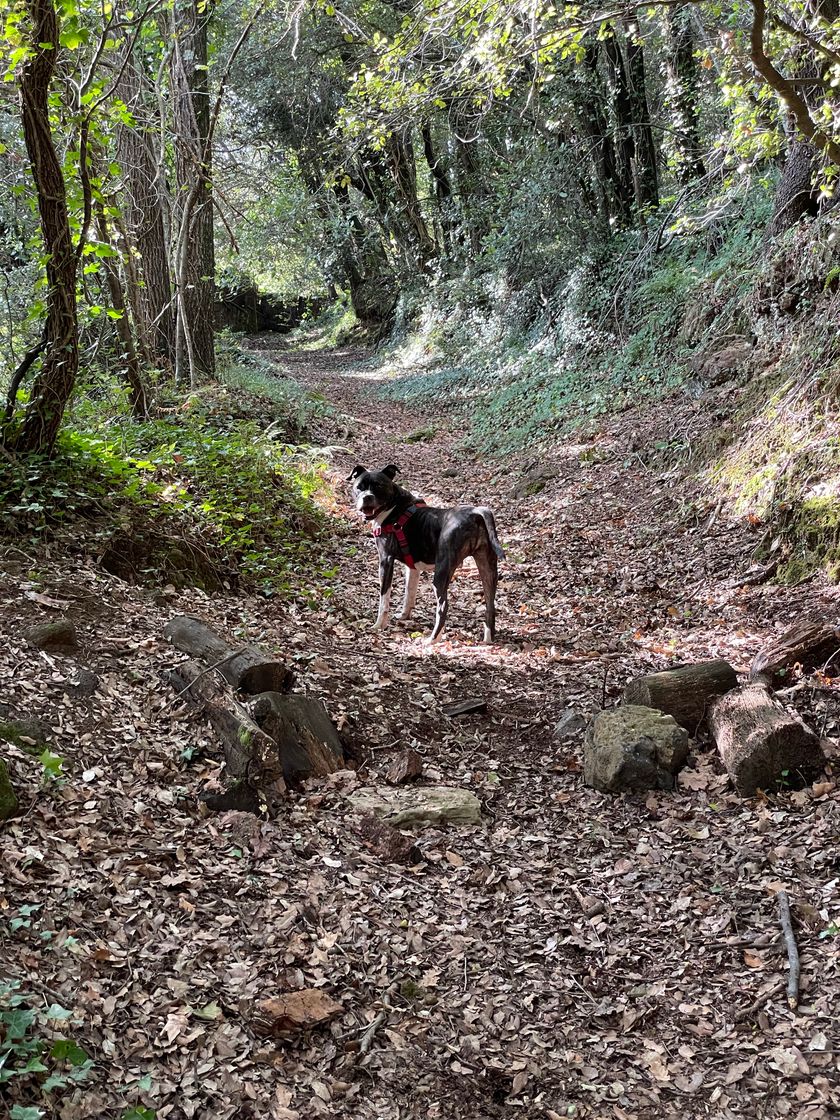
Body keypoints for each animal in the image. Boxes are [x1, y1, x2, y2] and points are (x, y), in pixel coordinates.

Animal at [349, 459, 506, 645]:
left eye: (378, 486)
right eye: (359, 487)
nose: (366, 497)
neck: (394, 508)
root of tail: (475, 512)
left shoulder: (386, 561)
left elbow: (384, 599)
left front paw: (379, 625)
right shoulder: (412, 568)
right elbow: (409, 592)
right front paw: (404, 616)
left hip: (442, 572)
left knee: (443, 606)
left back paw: (433, 638)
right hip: (487, 568)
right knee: (490, 605)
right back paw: (487, 639)